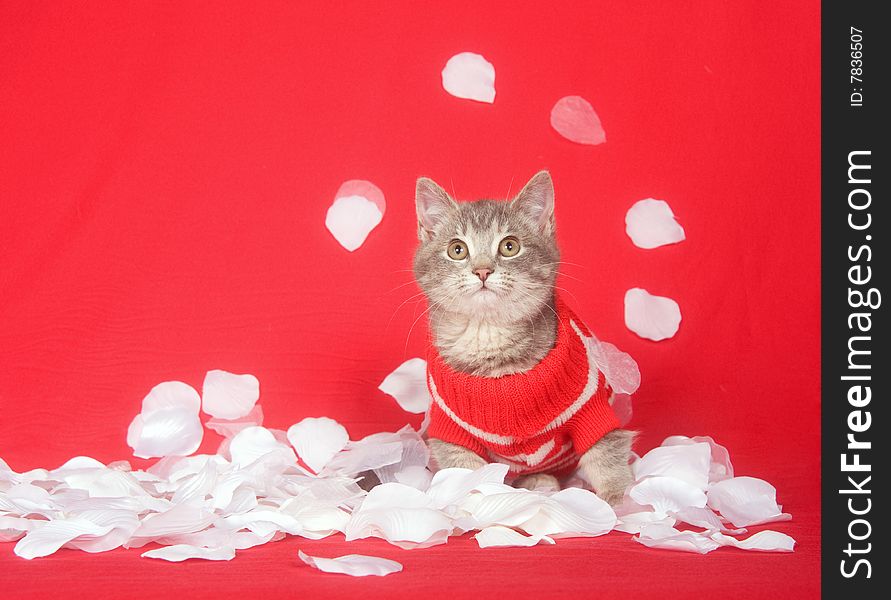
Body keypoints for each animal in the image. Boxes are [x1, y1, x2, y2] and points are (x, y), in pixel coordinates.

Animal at [414, 171, 636, 504]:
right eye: (457, 249)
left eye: (509, 246)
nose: (482, 270)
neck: (490, 339)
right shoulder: (450, 429)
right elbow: (462, 470)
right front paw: (469, 500)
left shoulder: (591, 410)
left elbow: (606, 453)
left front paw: (623, 503)